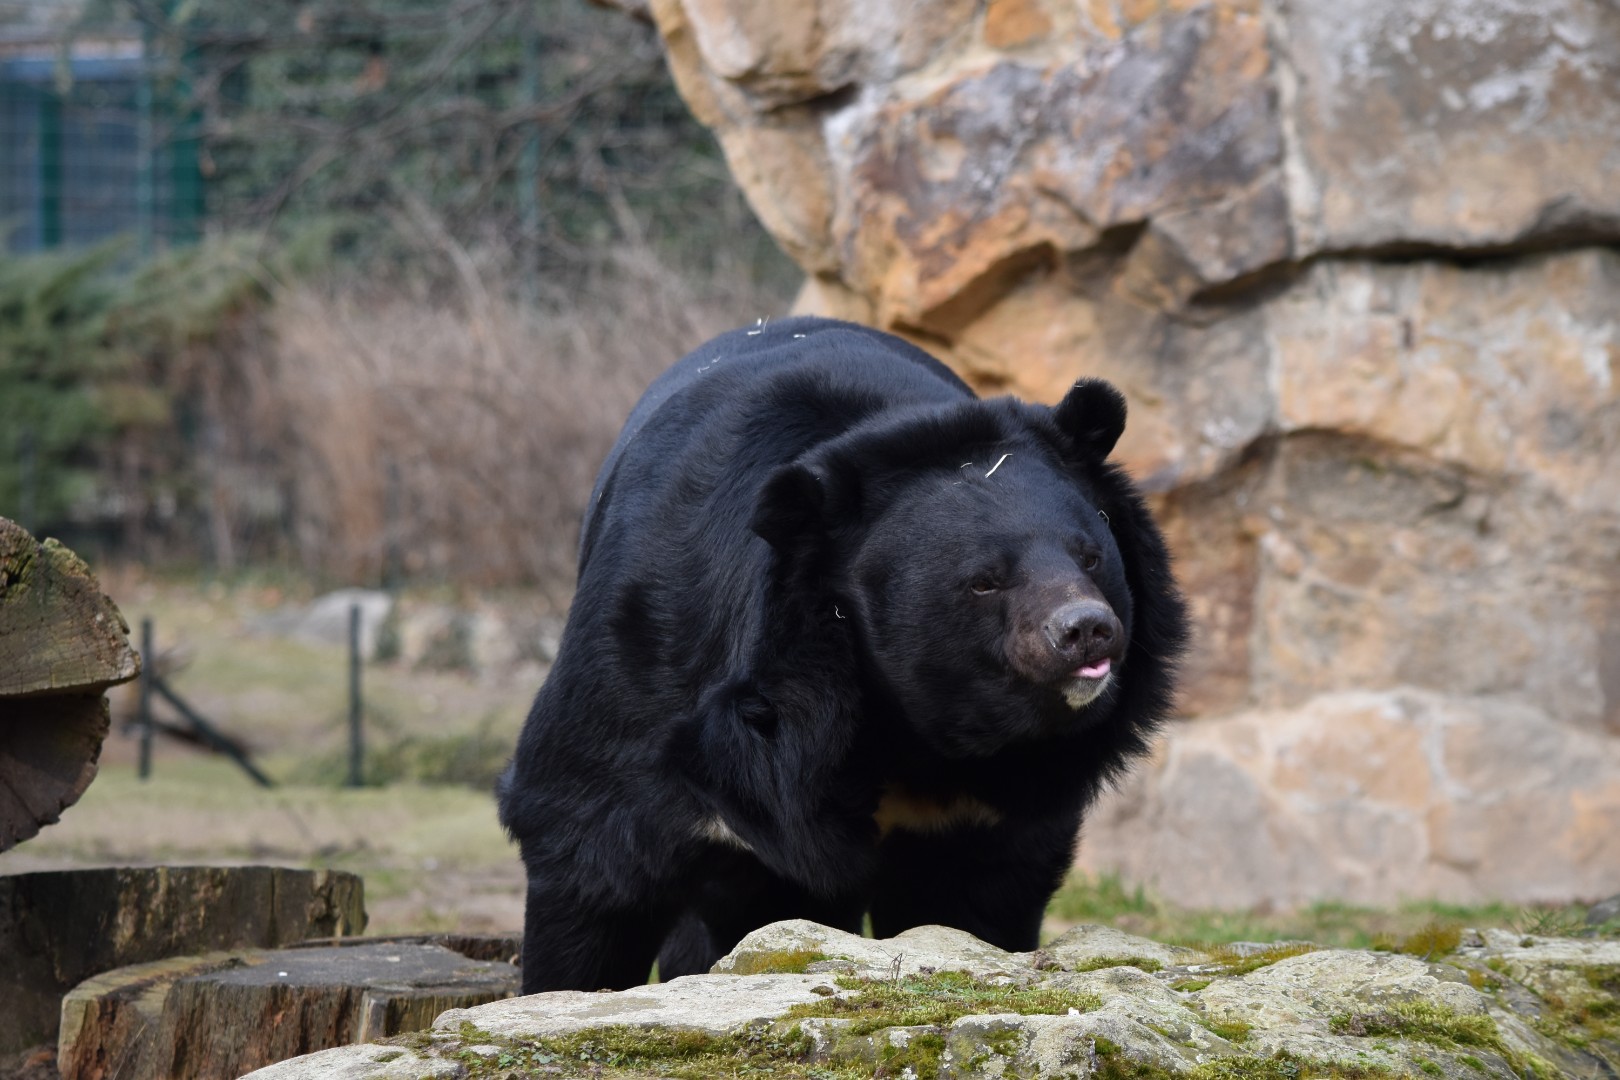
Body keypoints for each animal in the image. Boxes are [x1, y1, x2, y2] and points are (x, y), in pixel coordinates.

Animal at [497, 315, 1188, 994]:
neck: (912, 729)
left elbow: (977, 900)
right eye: (984, 581)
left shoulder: (988, 808)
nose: (1086, 629)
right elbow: (588, 852)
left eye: (1090, 556)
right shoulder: (649, 669)